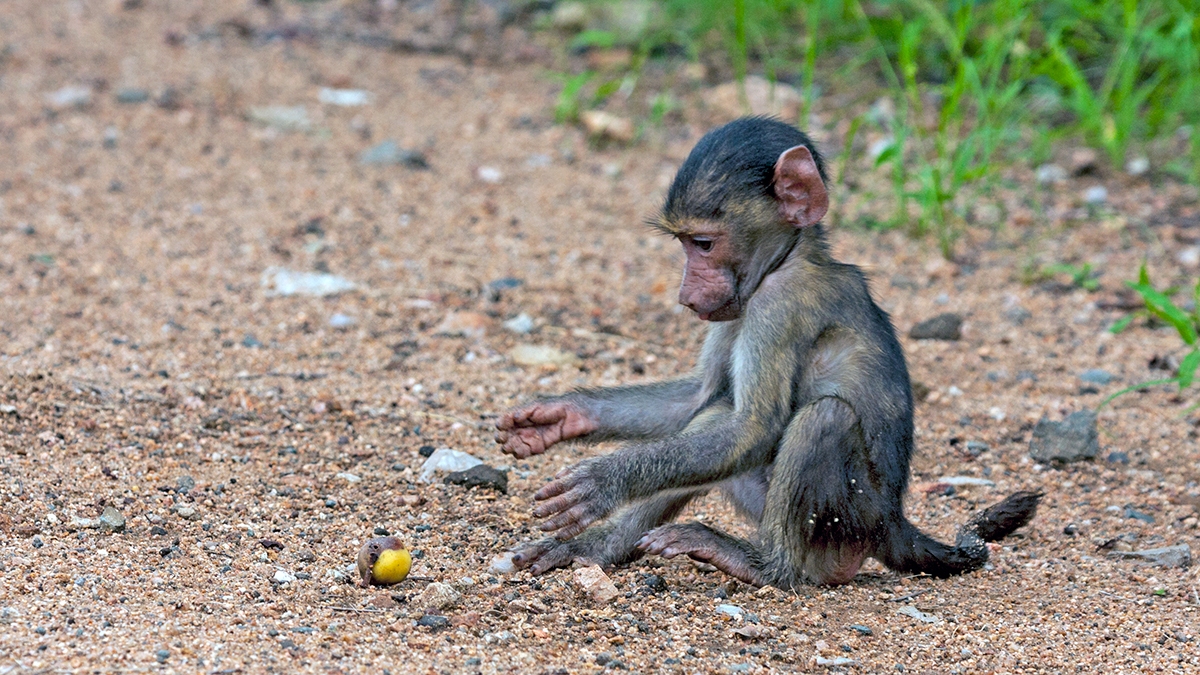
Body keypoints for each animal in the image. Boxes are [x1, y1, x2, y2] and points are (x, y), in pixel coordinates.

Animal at [494, 117, 1041, 588]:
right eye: (682, 243)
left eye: (703, 243)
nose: (686, 295)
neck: (789, 258)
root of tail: (894, 522)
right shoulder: (737, 308)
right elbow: (698, 399)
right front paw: (560, 418)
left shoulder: (779, 307)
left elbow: (754, 427)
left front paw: (603, 481)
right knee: (715, 417)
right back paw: (595, 548)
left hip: (850, 524)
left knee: (823, 418)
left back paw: (766, 566)